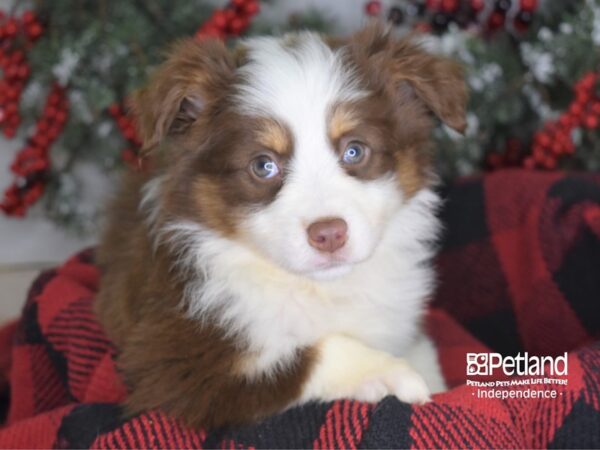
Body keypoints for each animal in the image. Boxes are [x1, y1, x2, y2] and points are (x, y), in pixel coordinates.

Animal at [95, 22, 468, 428]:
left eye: (354, 150)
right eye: (263, 165)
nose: (329, 234)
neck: (316, 288)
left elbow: (425, 352)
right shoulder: (171, 360)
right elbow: (308, 354)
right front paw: (391, 373)